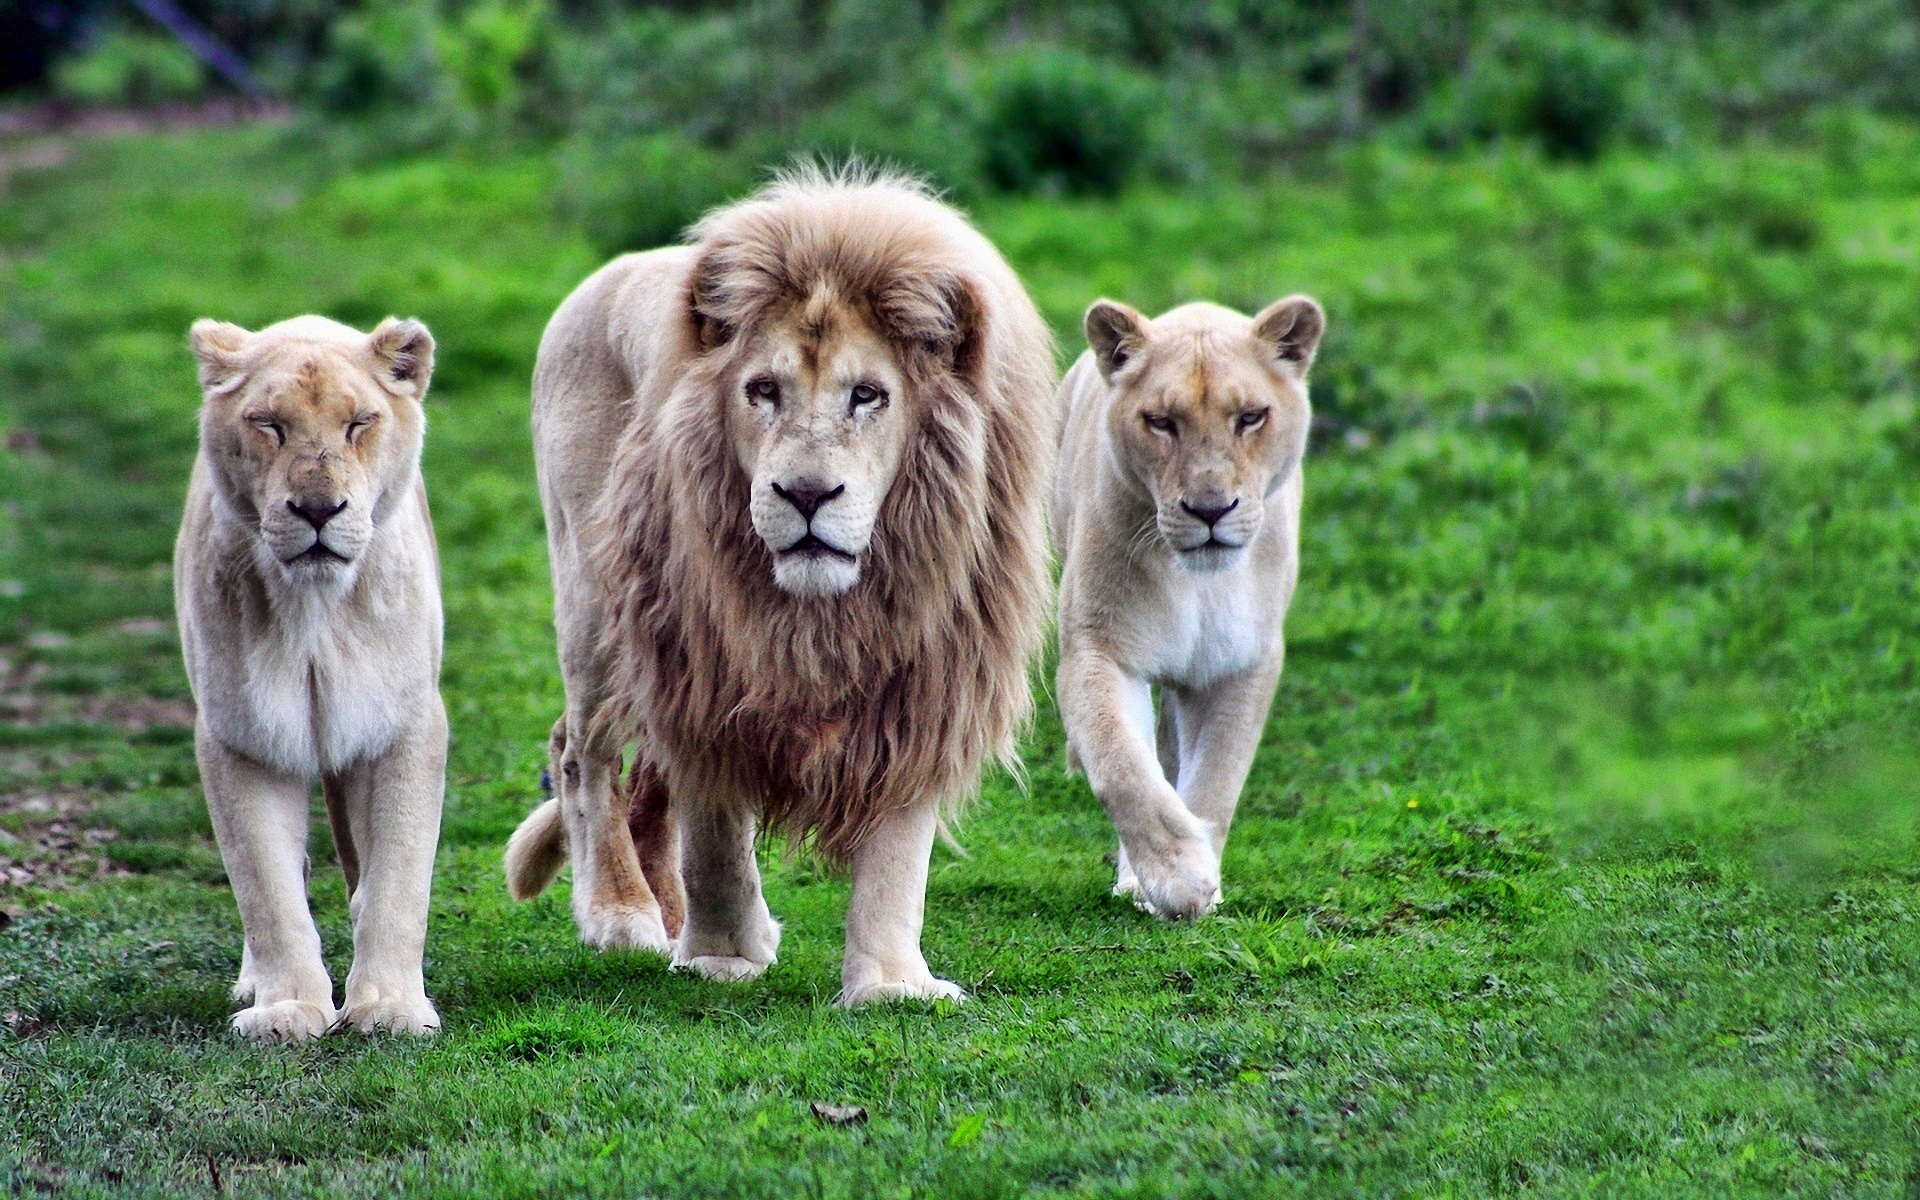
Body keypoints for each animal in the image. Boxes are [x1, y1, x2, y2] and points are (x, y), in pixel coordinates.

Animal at [175, 312, 445, 1036]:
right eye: (269, 424)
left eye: (359, 424)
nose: (319, 510)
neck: (315, 610)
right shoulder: (242, 736)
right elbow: (266, 886)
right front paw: (288, 1009)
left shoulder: (402, 727)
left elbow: (398, 877)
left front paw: (389, 1007)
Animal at [499, 168, 1052, 998]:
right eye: (762, 390)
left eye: (867, 394)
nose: (805, 494)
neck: (826, 613)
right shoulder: (706, 671)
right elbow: (717, 833)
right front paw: (723, 956)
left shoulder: (928, 682)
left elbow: (898, 852)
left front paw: (891, 985)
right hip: (596, 601)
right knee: (583, 754)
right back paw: (622, 915)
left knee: (647, 781)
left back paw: (668, 913)